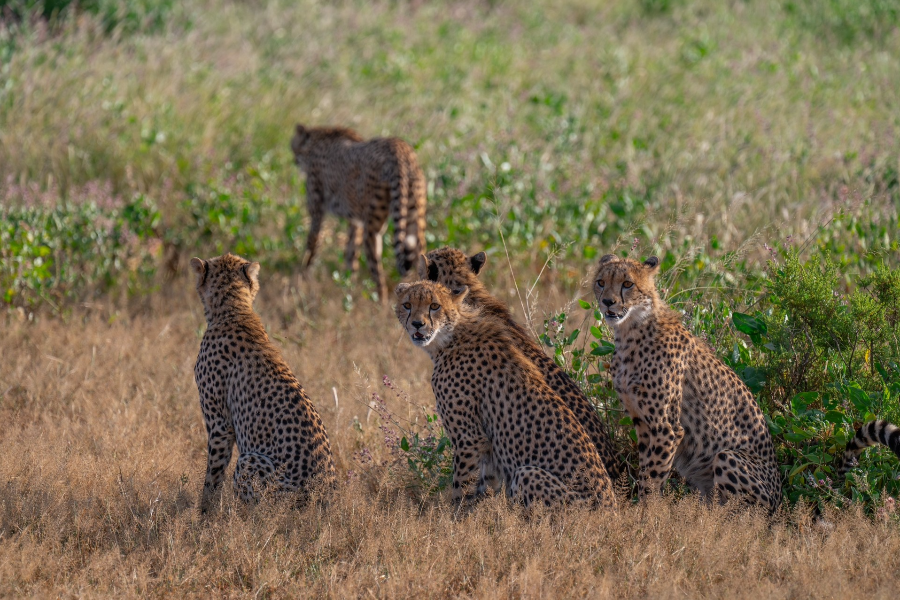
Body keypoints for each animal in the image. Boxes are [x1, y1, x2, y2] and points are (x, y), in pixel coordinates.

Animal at [190, 253, 334, 510]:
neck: (234, 309)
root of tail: (325, 499)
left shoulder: (220, 425)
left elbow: (213, 475)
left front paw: (205, 512)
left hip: (251, 461)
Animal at [290, 125, 428, 304]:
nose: (294, 159)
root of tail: (400, 149)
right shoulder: (355, 221)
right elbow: (351, 253)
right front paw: (349, 285)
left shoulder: (317, 211)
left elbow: (312, 244)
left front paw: (303, 277)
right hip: (415, 218)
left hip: (373, 228)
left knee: (378, 273)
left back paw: (381, 306)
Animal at [396, 278, 616, 508]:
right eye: (407, 305)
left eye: (434, 306)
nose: (417, 324)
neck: (450, 336)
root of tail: (612, 509)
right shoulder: (488, 447)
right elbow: (486, 485)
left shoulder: (470, 439)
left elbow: (461, 486)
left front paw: (454, 514)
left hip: (528, 473)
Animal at [592, 253, 780, 510]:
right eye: (601, 282)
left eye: (628, 284)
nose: (608, 302)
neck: (631, 331)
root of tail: (780, 499)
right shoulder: (642, 422)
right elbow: (646, 471)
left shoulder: (667, 428)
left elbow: (652, 479)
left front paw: (645, 514)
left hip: (728, 457)